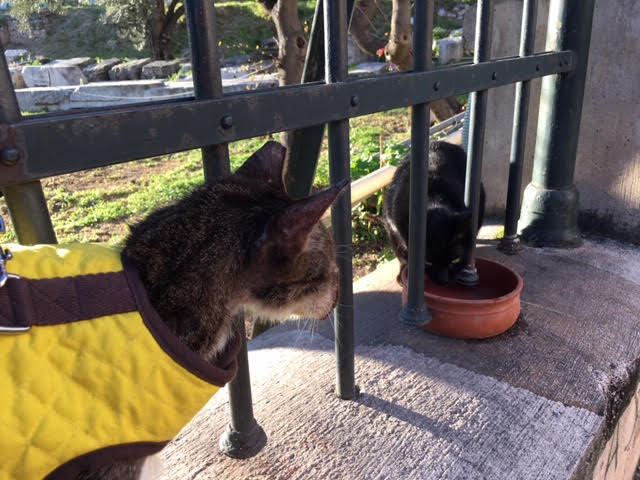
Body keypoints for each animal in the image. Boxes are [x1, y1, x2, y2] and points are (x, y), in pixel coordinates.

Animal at [384, 141, 484, 284]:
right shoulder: (391, 226)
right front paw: (403, 272)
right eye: (428, 263)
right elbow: (400, 254)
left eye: (455, 260)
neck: (433, 198)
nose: (443, 281)